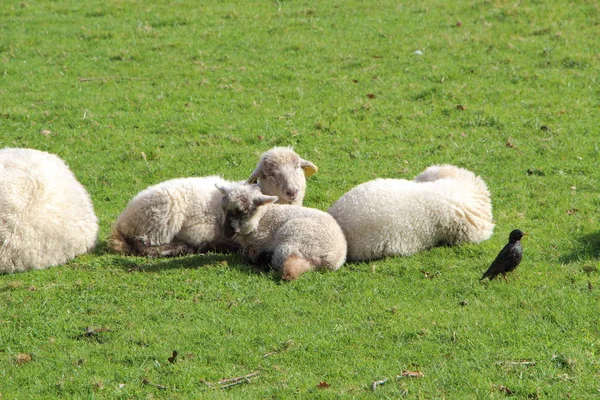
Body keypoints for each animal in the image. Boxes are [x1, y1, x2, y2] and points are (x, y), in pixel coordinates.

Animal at [110, 147, 322, 256]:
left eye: (297, 167)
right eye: (269, 174)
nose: (292, 191)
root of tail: (122, 220)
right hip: (160, 219)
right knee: (142, 245)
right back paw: (180, 248)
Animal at [216, 182, 346, 280]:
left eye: (243, 211)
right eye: (224, 209)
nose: (226, 233)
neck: (263, 218)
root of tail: (328, 260)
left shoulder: (260, 243)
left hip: (293, 239)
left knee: (281, 262)